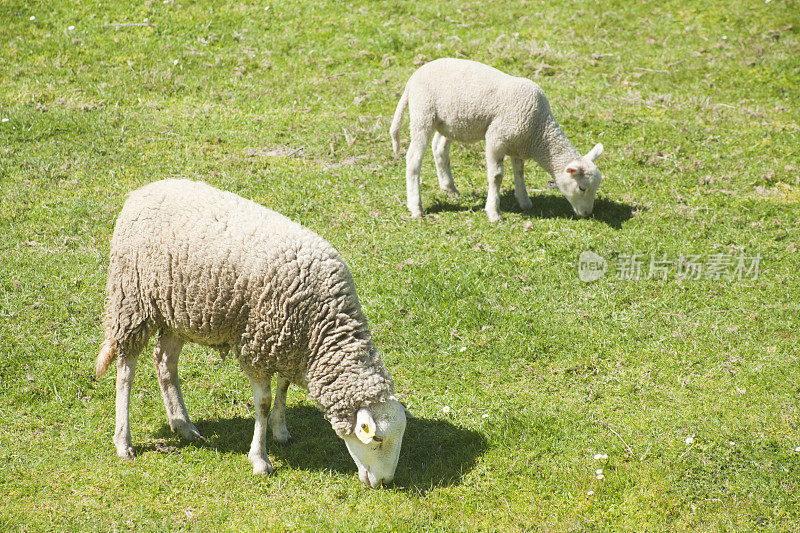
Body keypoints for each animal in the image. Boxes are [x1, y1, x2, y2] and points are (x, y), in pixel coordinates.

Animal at [97, 179, 410, 486]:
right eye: (377, 439)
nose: (385, 482)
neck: (321, 328)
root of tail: (142, 191)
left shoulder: (287, 343)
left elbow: (283, 387)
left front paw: (281, 431)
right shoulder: (258, 346)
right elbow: (263, 403)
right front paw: (260, 458)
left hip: (176, 310)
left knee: (164, 362)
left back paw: (183, 424)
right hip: (132, 299)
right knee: (126, 371)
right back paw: (123, 441)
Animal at [390, 57, 608, 222]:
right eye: (582, 188)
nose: (587, 213)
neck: (539, 131)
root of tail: (413, 78)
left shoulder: (518, 143)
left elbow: (519, 172)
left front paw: (524, 201)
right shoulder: (497, 138)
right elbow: (496, 176)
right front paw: (494, 212)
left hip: (449, 122)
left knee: (439, 147)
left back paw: (449, 188)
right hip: (423, 114)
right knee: (413, 159)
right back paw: (416, 207)